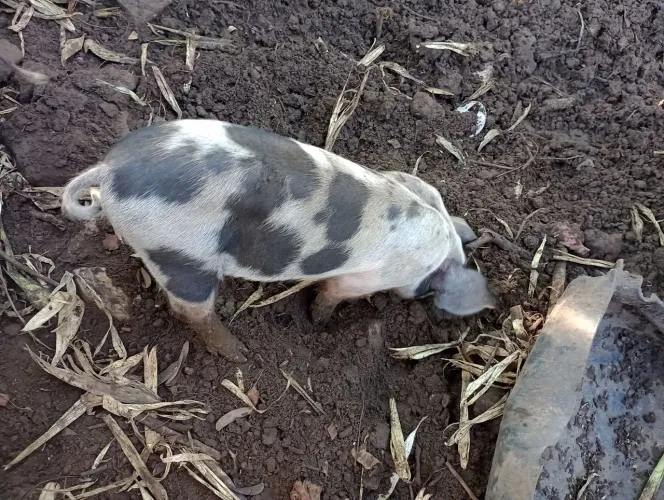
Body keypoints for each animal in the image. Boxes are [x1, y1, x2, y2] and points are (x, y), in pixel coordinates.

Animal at [61, 120, 495, 363]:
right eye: (427, 289)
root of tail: (110, 169)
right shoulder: (368, 276)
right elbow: (333, 292)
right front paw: (319, 322)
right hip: (179, 254)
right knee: (190, 309)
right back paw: (240, 355)